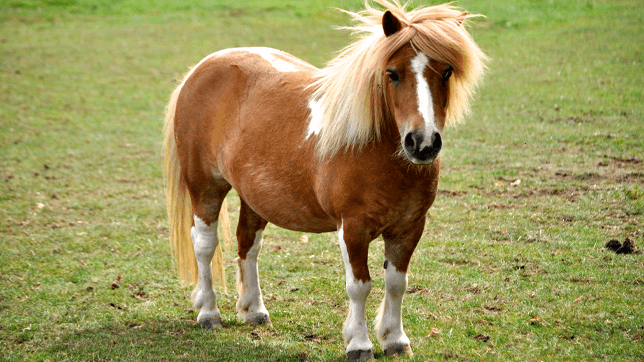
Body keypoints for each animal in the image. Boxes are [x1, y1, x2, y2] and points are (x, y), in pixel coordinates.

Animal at [164, 1, 486, 360]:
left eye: (446, 72)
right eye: (392, 73)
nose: (423, 143)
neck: (374, 149)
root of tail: (199, 69)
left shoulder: (409, 228)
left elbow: (396, 284)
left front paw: (395, 340)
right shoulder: (353, 228)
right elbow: (360, 286)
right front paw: (359, 343)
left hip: (253, 197)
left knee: (248, 243)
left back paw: (254, 311)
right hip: (205, 187)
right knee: (205, 245)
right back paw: (209, 313)